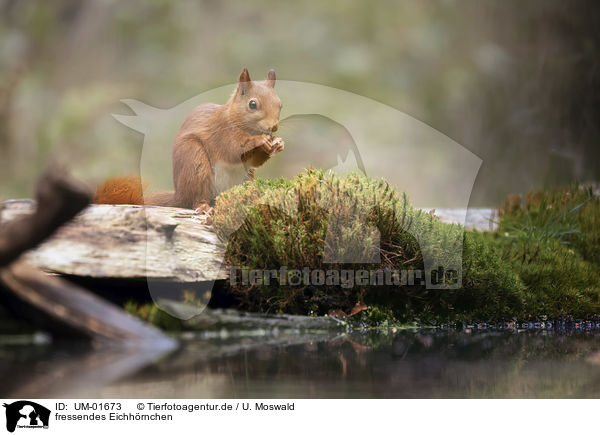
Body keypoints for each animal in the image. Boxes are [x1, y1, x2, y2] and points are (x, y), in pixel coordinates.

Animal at [92, 67, 284, 215]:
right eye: (252, 104)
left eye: (280, 104)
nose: (273, 127)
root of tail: (179, 196)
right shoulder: (220, 132)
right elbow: (232, 148)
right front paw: (259, 140)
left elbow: (254, 161)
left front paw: (277, 144)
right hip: (195, 162)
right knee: (196, 198)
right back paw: (204, 207)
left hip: (246, 178)